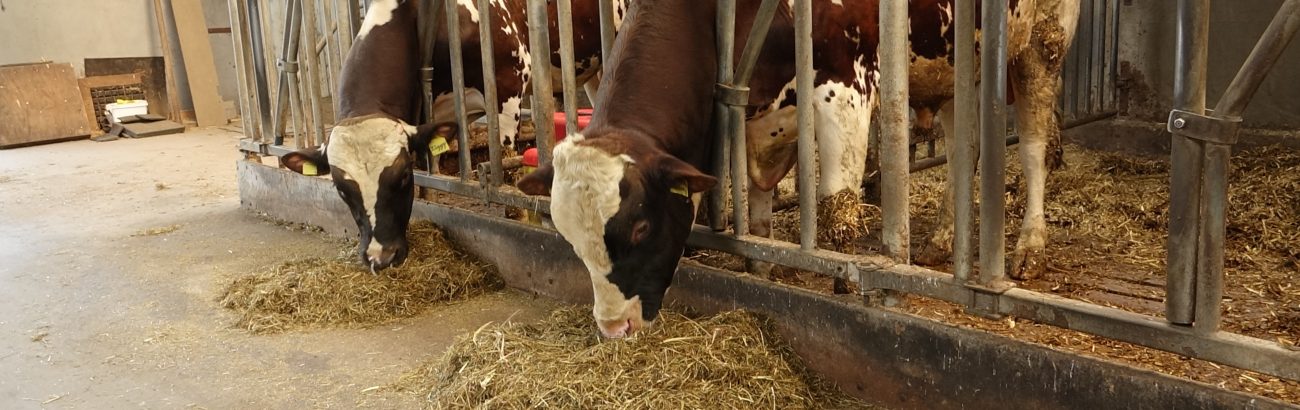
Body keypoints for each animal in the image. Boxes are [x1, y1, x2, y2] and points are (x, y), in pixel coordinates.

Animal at [277, 0, 621, 270]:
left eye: (401, 176)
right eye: (340, 188)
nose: (380, 257)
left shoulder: (508, 83)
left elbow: (507, 165)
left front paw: (517, 216)